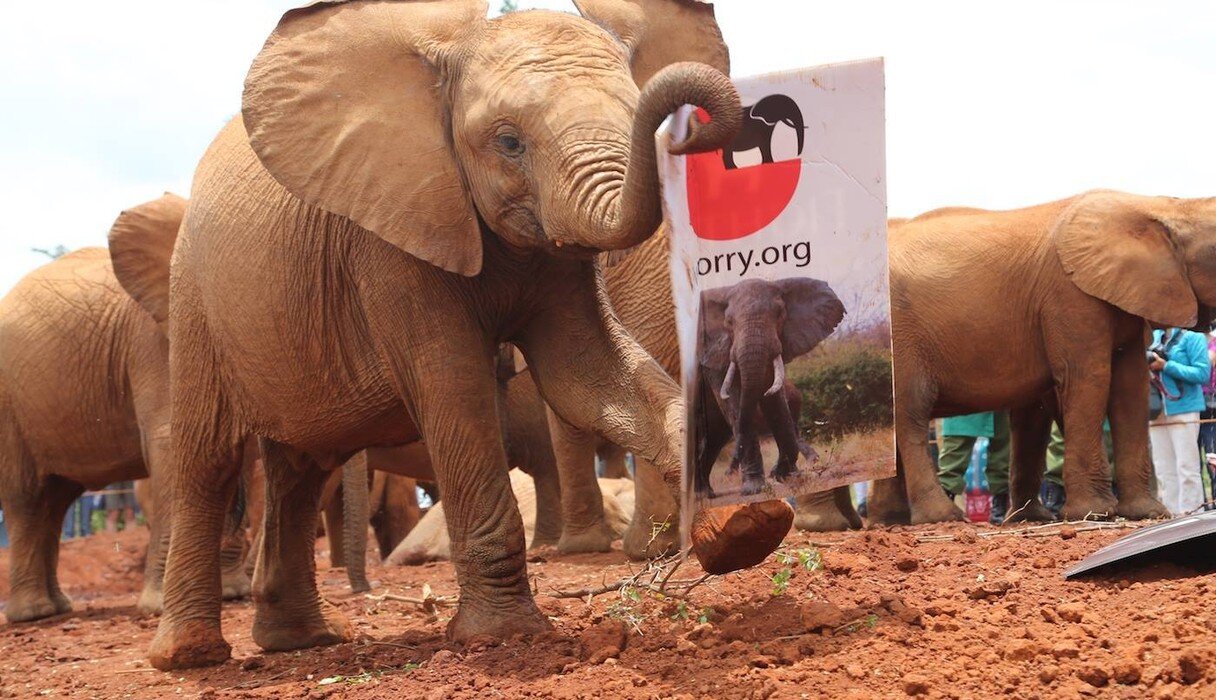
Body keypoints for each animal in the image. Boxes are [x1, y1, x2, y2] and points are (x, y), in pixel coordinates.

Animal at [0, 194, 248, 623]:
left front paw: (232, 594)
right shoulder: (153, 338)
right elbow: (175, 439)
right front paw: (162, 606)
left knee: (55, 501)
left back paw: (57, 607)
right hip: (8, 403)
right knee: (27, 496)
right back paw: (34, 614)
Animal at [141, 0, 789, 671]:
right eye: (508, 143)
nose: (692, 128)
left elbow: (590, 374)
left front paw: (747, 524)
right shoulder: (395, 232)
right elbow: (455, 387)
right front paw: (503, 636)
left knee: (301, 468)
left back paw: (301, 641)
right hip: (193, 299)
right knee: (207, 459)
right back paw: (189, 656)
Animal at [695, 278, 846, 497]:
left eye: (780, 314)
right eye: (729, 322)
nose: (777, 473)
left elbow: (774, 405)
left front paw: (785, 476)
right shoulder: (714, 352)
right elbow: (735, 403)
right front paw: (754, 489)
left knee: (714, 436)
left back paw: (704, 494)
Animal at [857, 192, 1216, 526]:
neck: (1160, 206)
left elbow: (1130, 388)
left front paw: (1147, 513)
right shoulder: (1070, 296)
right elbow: (1089, 378)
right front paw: (1094, 514)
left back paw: (890, 520)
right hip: (899, 339)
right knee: (912, 411)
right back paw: (940, 518)